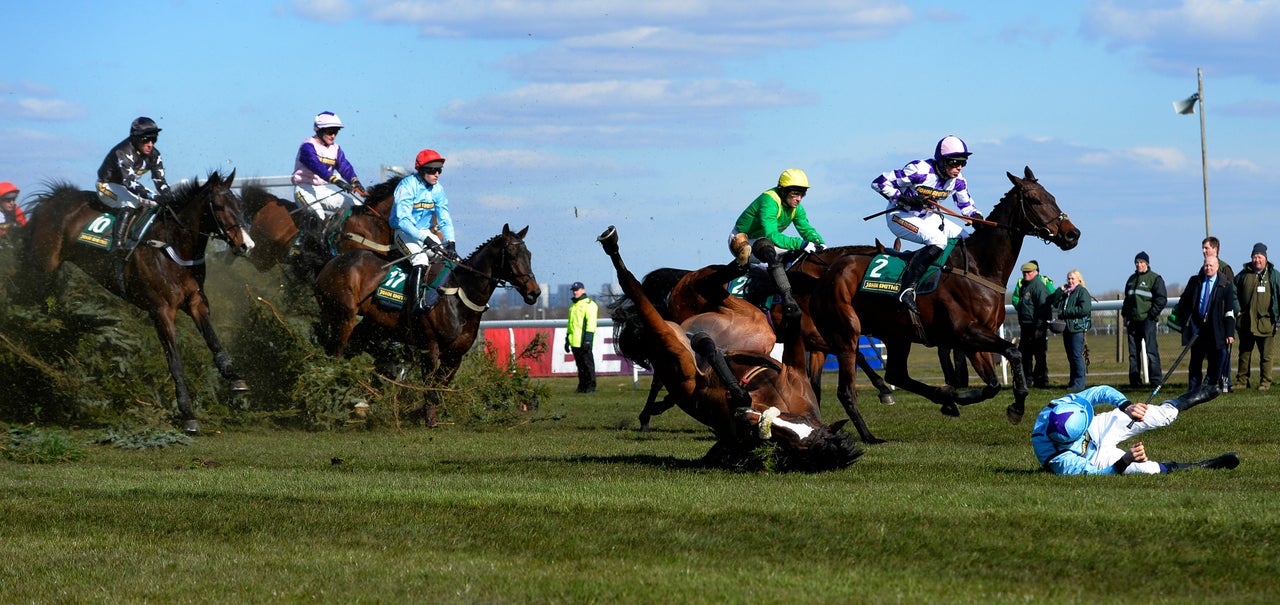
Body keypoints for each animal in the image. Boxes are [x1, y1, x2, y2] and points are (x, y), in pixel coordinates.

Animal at [22, 172, 254, 432]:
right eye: (220, 206)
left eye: (240, 205)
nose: (247, 244)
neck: (172, 246)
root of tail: (52, 199)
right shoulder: (161, 311)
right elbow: (175, 362)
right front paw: (187, 413)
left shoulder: (195, 301)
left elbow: (214, 341)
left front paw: (234, 378)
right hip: (41, 264)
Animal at [318, 221, 545, 424]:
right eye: (513, 255)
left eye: (530, 255)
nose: (534, 292)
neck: (459, 294)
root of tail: (330, 264)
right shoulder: (430, 347)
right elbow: (430, 385)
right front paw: (428, 418)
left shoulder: (455, 355)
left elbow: (440, 387)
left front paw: (419, 412)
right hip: (342, 318)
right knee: (334, 357)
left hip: (370, 327)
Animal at [599, 223, 860, 468]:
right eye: (797, 428)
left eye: (796, 443)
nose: (751, 419)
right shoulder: (796, 370)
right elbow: (793, 310)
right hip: (735, 313)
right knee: (709, 282)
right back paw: (755, 252)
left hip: (710, 336)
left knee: (646, 303)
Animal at [808, 167, 1080, 440]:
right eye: (1035, 200)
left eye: (1052, 197)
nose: (1072, 234)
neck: (980, 267)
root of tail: (828, 273)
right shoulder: (966, 332)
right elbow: (1014, 352)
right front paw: (1015, 406)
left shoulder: (975, 339)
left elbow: (992, 384)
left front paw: (958, 398)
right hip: (847, 333)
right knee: (846, 390)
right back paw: (869, 436)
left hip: (896, 335)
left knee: (896, 373)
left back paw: (940, 398)